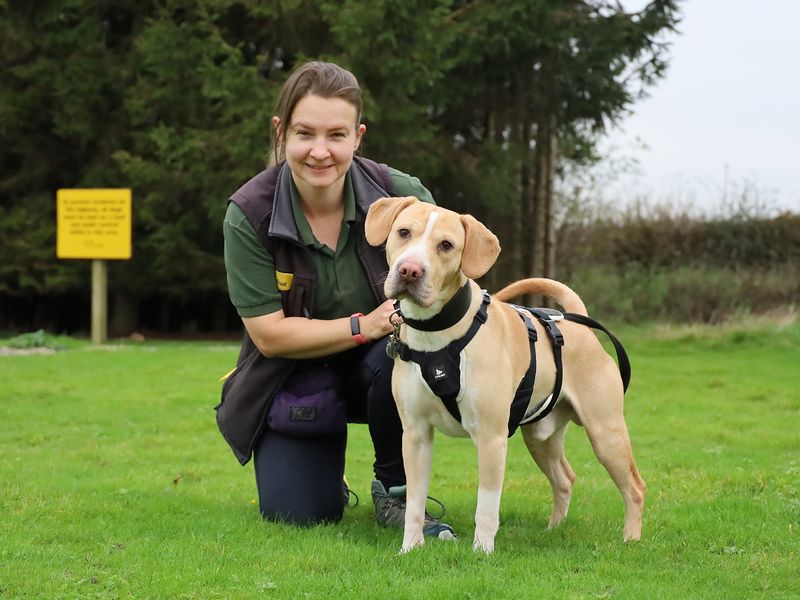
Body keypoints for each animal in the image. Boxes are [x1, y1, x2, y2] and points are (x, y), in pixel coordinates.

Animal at [366, 197, 648, 552]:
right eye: (403, 232)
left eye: (446, 245)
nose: (409, 270)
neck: (438, 334)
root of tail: (578, 323)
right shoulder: (415, 435)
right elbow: (414, 501)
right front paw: (410, 548)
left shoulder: (491, 438)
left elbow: (486, 506)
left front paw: (482, 552)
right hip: (541, 437)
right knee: (565, 478)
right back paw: (554, 529)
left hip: (606, 432)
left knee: (634, 486)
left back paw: (631, 538)